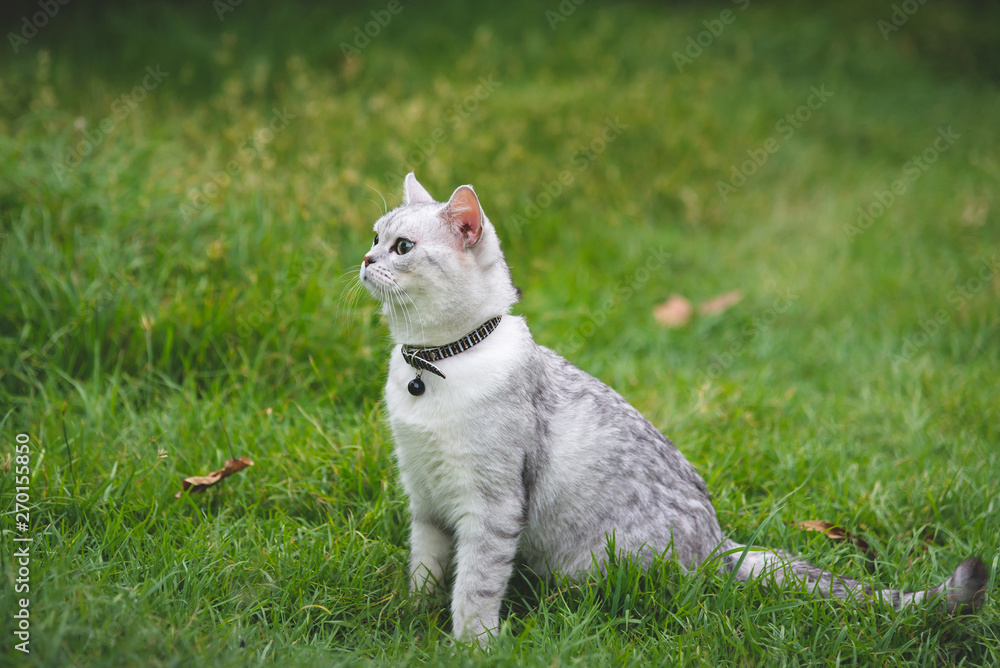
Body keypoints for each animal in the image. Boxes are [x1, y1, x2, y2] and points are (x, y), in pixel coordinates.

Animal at [358, 171, 984, 640]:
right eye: (374, 235)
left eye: (403, 247)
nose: (364, 260)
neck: (433, 365)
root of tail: (718, 544)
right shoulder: (425, 497)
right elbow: (425, 570)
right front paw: (412, 616)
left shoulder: (489, 507)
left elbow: (475, 587)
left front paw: (470, 645)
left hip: (593, 568)